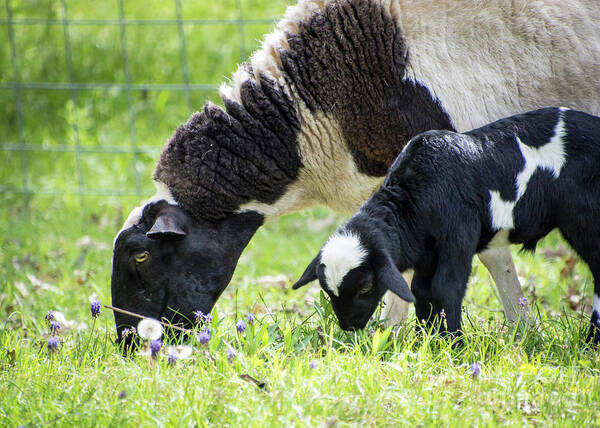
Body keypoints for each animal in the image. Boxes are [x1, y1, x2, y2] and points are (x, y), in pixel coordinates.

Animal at [292, 108, 600, 344]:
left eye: (366, 287)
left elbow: (446, 287)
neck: (413, 198)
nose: (349, 325)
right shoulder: (426, 254)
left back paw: (591, 342)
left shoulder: (458, 237)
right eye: (326, 289)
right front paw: (426, 341)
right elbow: (421, 291)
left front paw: (453, 345)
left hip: (586, 218)